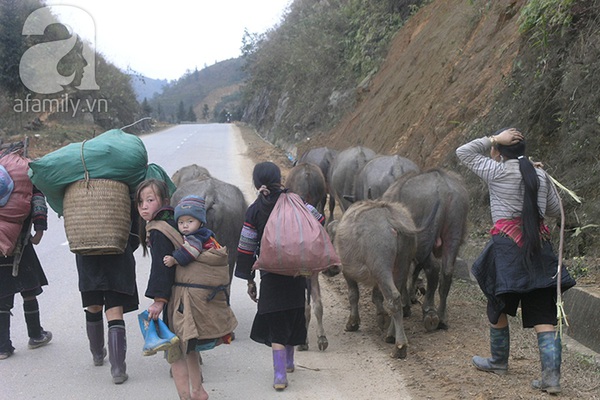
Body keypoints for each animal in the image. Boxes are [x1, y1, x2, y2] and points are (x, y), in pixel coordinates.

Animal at [332, 202, 418, 358]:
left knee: (393, 297)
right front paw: (381, 316)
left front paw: (353, 322)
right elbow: (377, 295)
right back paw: (391, 334)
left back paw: (400, 346)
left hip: (381, 267)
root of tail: (392, 218)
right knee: (397, 297)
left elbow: (353, 295)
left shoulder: (347, 272)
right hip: (403, 264)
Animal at [384, 169, 468, 332]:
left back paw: (429, 313)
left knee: (433, 268)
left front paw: (406, 305)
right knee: (446, 271)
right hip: (453, 234)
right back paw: (442, 318)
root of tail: (442, 187)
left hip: (422, 239)